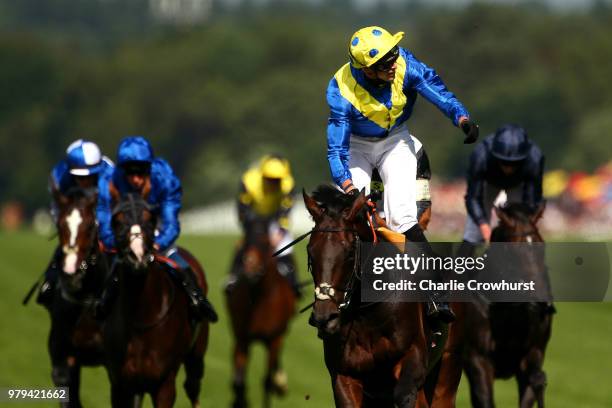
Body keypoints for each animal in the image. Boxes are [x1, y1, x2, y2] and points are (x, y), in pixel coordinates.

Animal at [104, 190, 212, 406]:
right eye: (117, 221)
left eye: (149, 219)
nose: (137, 256)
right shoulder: (120, 384)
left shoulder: (164, 383)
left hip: (196, 354)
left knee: (192, 386)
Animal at [227, 218, 298, 406]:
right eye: (246, 240)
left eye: (266, 243)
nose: (251, 267)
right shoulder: (243, 339)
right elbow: (239, 382)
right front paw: (239, 401)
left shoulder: (274, 339)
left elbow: (266, 382)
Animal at [302, 186, 464, 408]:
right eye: (311, 252)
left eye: (350, 252)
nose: (324, 317)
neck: (368, 314)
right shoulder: (344, 376)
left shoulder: (413, 361)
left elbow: (404, 395)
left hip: (446, 369)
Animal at [462, 204, 552, 408]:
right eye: (513, 250)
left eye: (542, 246)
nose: (542, 302)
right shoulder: (478, 359)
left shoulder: (534, 354)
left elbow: (535, 383)